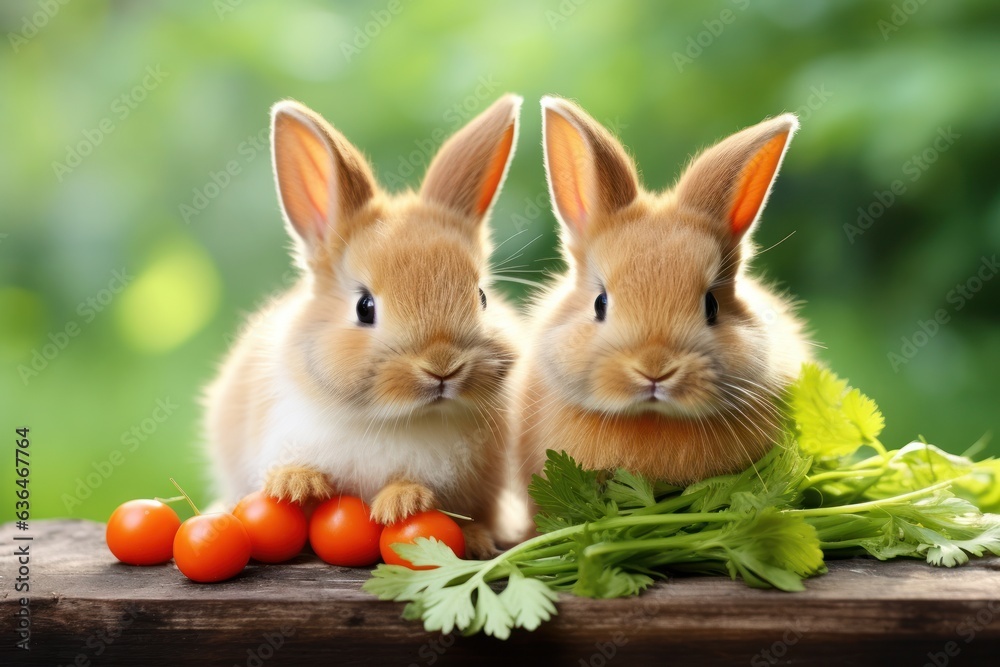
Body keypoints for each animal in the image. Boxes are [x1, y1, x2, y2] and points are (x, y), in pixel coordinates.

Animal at [207, 92, 528, 552]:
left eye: (482, 297)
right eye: (365, 307)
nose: (442, 367)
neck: (394, 417)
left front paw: (403, 502)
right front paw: (296, 484)